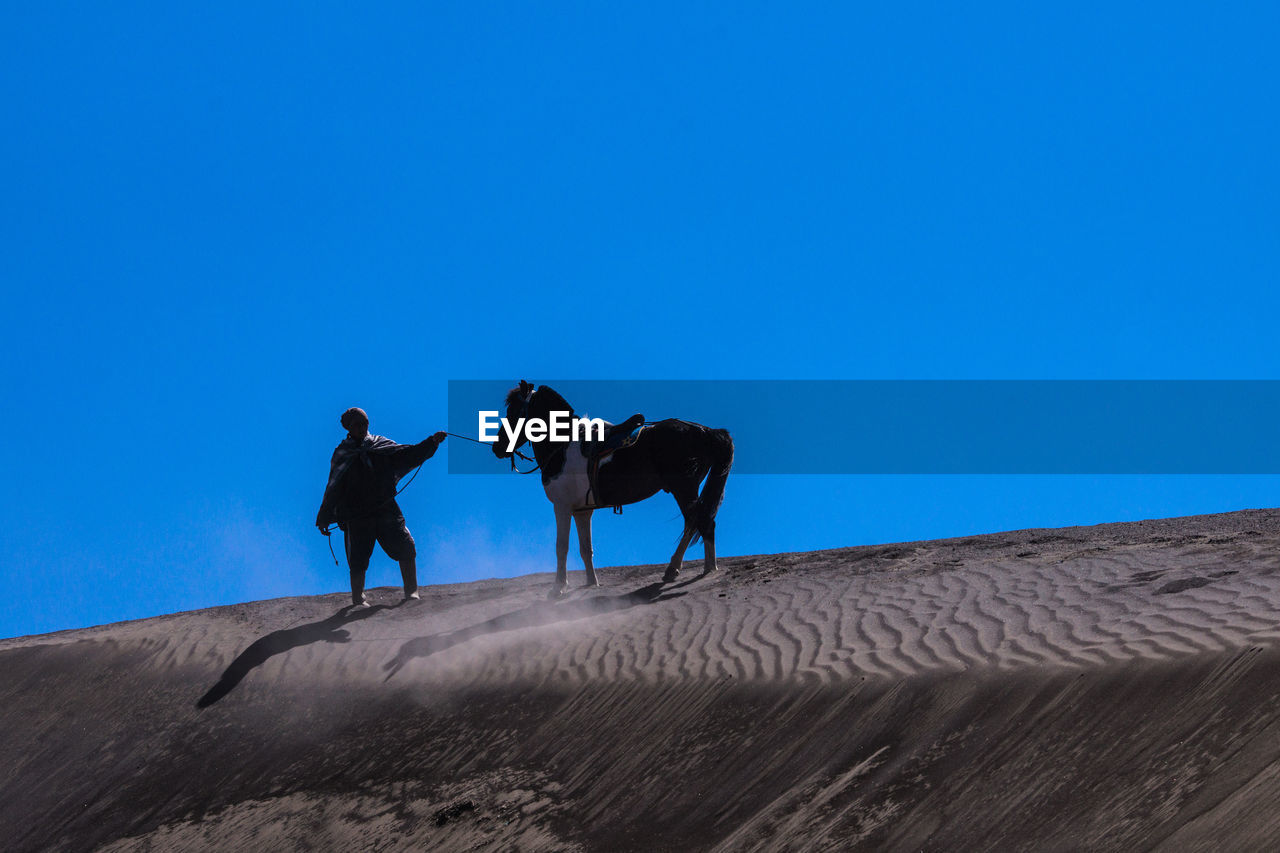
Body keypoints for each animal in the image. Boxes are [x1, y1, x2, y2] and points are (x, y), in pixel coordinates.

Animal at [488, 381, 732, 594]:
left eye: (513, 411)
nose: (497, 447)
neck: (562, 445)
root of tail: (706, 431)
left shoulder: (562, 506)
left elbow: (561, 547)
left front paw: (558, 588)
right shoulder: (582, 511)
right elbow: (586, 549)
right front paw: (591, 583)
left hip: (684, 488)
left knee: (701, 522)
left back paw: (702, 569)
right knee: (694, 522)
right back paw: (682, 568)